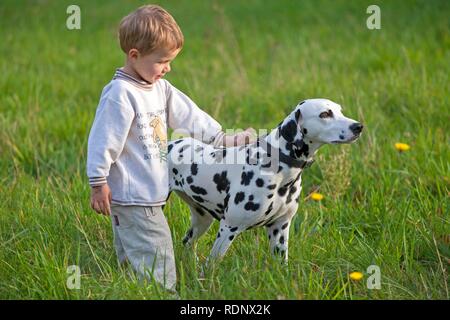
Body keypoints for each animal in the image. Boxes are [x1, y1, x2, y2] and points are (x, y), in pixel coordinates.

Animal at [168, 99, 362, 262]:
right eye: (325, 114)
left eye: (340, 110)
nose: (358, 126)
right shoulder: (228, 228)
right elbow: (211, 266)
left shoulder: (279, 229)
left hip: (202, 220)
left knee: (187, 242)